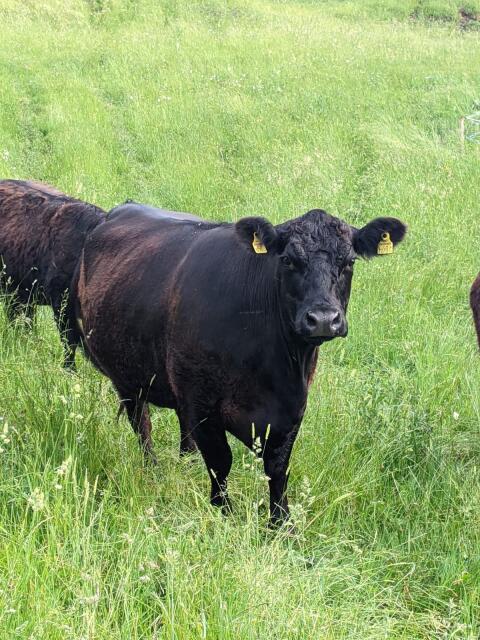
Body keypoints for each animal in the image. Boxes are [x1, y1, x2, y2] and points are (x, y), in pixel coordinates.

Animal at [72, 203, 406, 525]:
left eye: (349, 262)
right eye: (287, 261)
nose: (323, 319)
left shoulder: (292, 408)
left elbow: (277, 468)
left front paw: (281, 524)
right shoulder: (203, 404)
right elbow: (220, 461)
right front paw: (223, 512)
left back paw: (185, 462)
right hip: (129, 379)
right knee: (142, 425)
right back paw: (153, 468)